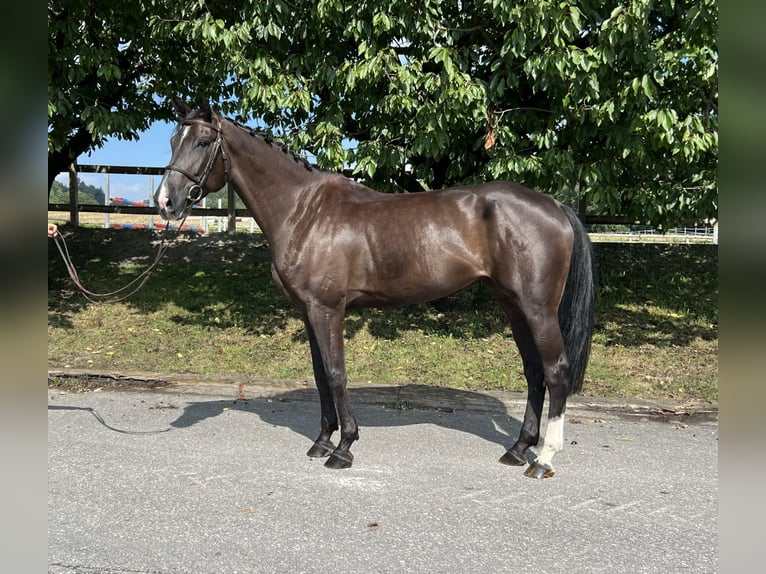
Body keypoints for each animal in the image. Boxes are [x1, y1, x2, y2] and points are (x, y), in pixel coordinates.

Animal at [154, 95, 600, 482]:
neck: (304, 211)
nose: (165, 202)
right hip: (512, 304)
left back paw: (543, 459)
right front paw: (321, 442)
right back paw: (518, 449)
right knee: (534, 371)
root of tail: (555, 206)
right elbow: (320, 375)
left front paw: (343, 448)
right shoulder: (308, 312)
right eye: (173, 141)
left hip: (538, 308)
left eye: (203, 141)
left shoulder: (327, 309)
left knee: (556, 371)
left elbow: (336, 374)